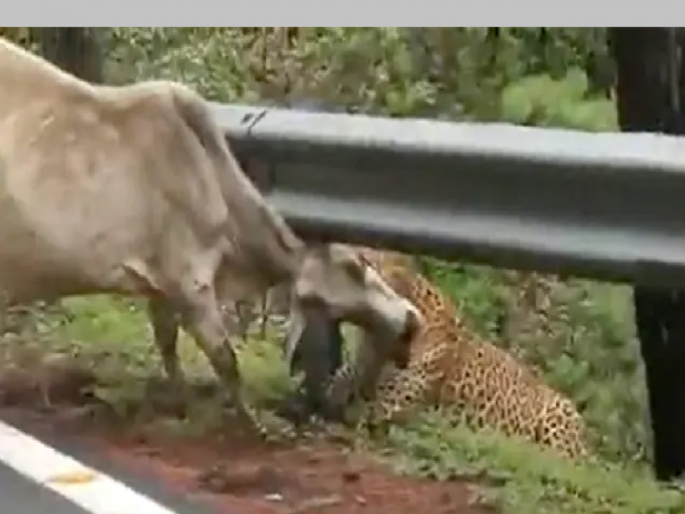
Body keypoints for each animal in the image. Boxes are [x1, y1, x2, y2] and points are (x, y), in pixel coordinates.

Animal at [0, 38, 421, 434]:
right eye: (355, 264)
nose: (410, 322)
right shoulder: (192, 283)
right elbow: (226, 361)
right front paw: (253, 424)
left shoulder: (161, 287)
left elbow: (168, 348)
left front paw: (179, 404)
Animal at [323, 246, 591, 461]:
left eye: (364, 264)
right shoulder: (356, 373)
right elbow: (336, 387)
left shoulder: (391, 404)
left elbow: (356, 409)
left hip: (561, 413)